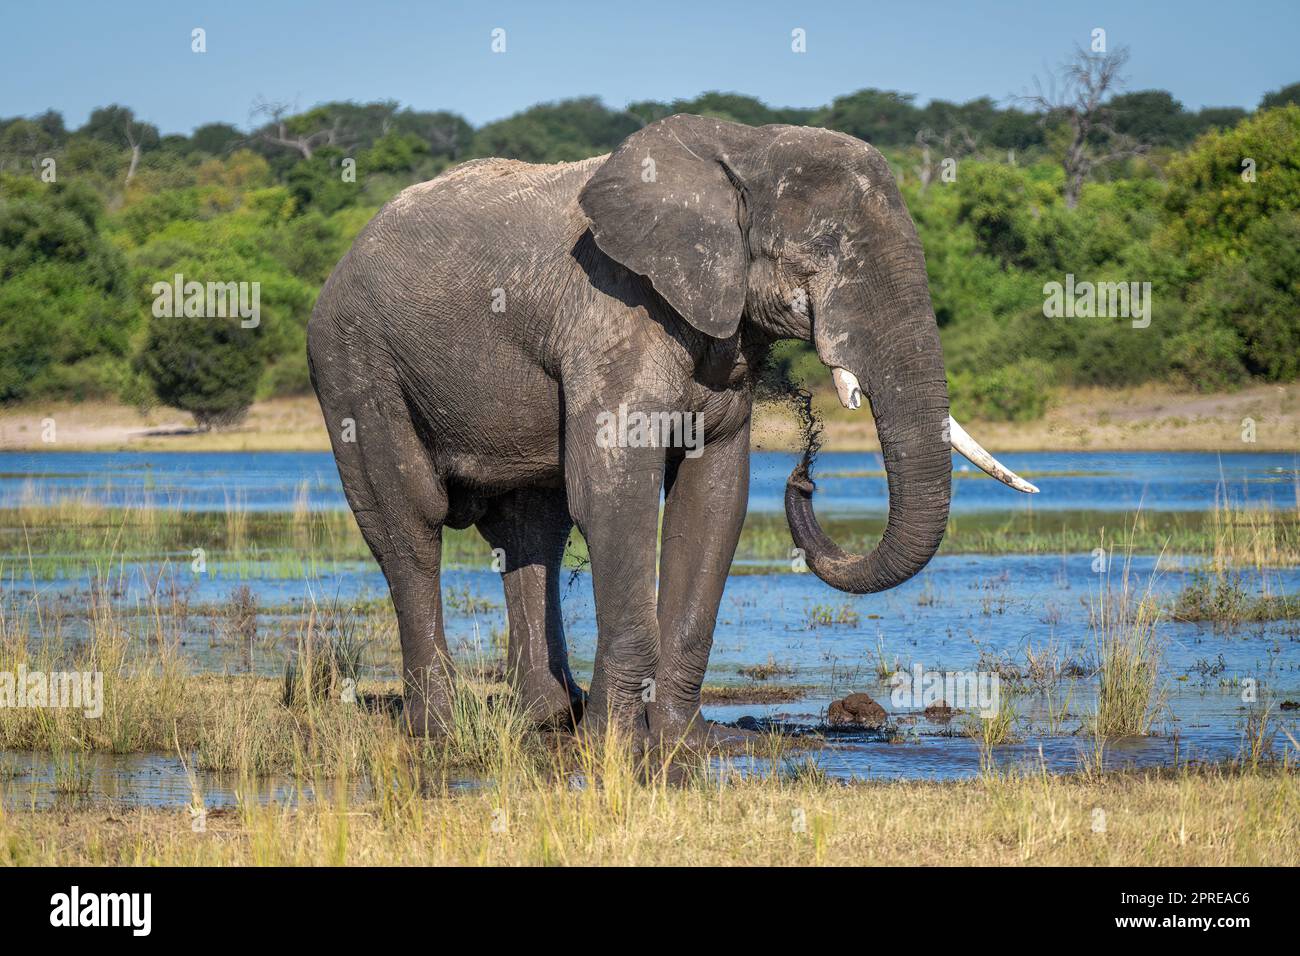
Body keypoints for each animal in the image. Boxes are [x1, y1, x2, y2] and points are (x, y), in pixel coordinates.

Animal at [307, 114, 1036, 744]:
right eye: (825, 253)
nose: (804, 478)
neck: (743, 148)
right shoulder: (613, 313)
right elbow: (614, 495)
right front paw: (613, 748)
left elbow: (714, 498)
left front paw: (682, 743)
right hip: (353, 363)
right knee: (410, 525)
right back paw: (440, 728)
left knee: (531, 529)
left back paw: (549, 717)